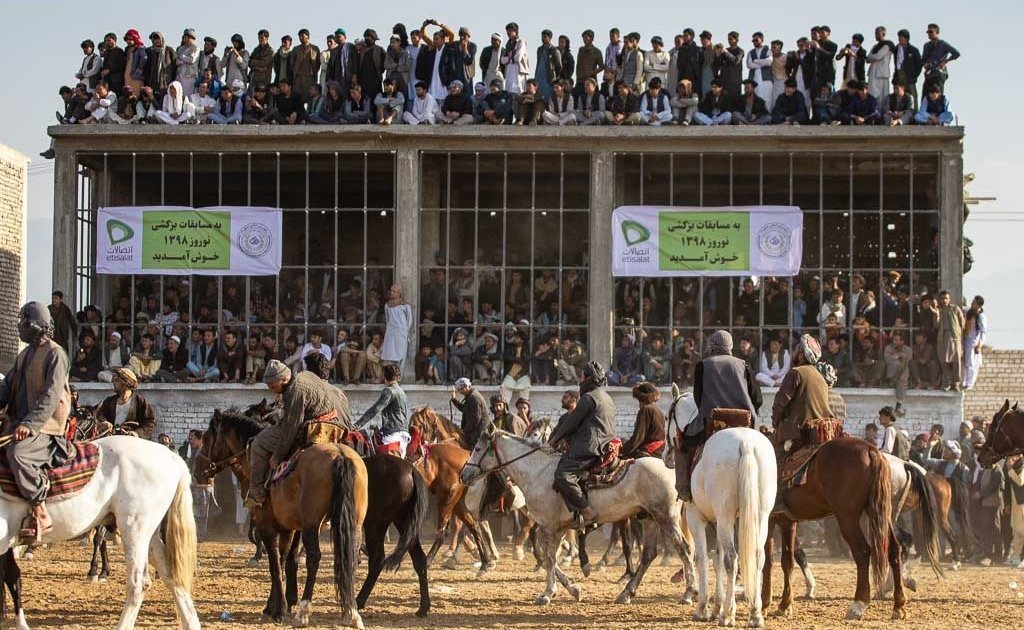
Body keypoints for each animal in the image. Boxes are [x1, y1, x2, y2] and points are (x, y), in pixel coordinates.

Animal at [0, 438, 198, 630]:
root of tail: (172, 458)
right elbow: (12, 577)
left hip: (134, 531)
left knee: (138, 584)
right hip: (149, 537)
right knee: (172, 577)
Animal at [195, 407, 368, 626]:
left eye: (206, 438)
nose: (197, 471)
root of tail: (340, 456)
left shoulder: (267, 526)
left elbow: (275, 564)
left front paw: (279, 609)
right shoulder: (290, 528)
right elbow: (286, 559)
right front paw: (278, 603)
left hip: (312, 525)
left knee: (314, 558)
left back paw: (304, 611)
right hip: (354, 523)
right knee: (349, 557)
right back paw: (351, 611)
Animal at [462, 428, 696, 606]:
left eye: (478, 448)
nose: (464, 475)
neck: (538, 472)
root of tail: (673, 471)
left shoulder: (548, 526)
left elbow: (549, 559)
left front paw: (547, 594)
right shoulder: (559, 528)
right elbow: (550, 560)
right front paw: (573, 588)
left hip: (666, 517)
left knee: (684, 549)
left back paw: (689, 593)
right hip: (649, 518)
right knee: (648, 554)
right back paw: (626, 593)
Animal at [688, 426, 774, 626]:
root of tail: (746, 442)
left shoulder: (696, 517)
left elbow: (702, 558)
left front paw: (703, 609)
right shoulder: (719, 522)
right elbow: (716, 559)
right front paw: (716, 607)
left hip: (724, 516)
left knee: (731, 559)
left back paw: (727, 614)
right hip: (760, 516)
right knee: (757, 557)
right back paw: (755, 614)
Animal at [761, 436, 905, 622]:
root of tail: (870, 450)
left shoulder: (768, 520)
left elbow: (767, 561)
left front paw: (764, 605)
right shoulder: (787, 521)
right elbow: (787, 561)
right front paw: (785, 605)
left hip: (848, 518)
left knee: (862, 552)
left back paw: (858, 605)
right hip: (880, 513)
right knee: (893, 549)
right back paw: (898, 605)